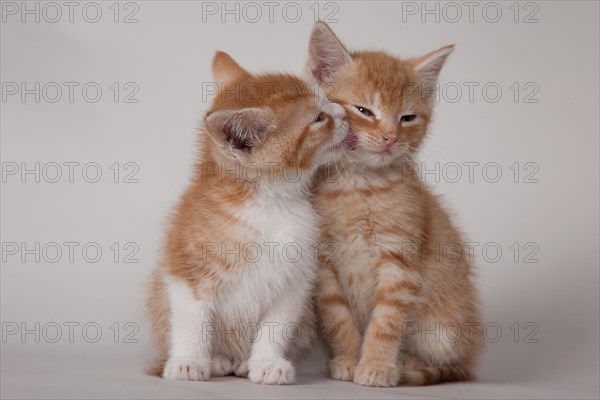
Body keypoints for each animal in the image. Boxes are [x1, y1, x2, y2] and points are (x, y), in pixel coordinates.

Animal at [148, 50, 352, 384]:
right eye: (318, 118)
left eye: (327, 102)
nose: (345, 112)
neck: (268, 204)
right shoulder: (184, 267)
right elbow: (192, 320)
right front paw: (189, 361)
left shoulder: (295, 279)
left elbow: (276, 326)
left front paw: (267, 363)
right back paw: (219, 359)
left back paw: (242, 362)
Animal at [308, 21, 486, 388]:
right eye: (364, 110)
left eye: (407, 117)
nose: (390, 137)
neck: (359, 187)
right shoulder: (324, 266)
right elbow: (337, 318)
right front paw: (348, 359)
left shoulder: (401, 261)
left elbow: (387, 322)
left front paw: (376, 366)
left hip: (443, 330)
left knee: (459, 366)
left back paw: (411, 366)